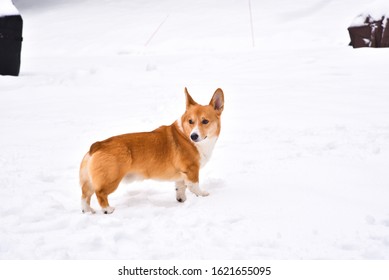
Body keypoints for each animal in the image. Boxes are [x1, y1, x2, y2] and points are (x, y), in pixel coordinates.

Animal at [79, 87, 224, 214]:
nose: (193, 136)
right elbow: (194, 186)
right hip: (112, 179)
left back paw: (88, 211)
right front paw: (203, 194)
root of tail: (98, 145)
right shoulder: (191, 170)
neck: (185, 134)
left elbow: (180, 187)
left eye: (205, 121)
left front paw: (181, 200)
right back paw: (107, 210)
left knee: (85, 195)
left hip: (89, 181)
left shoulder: (181, 174)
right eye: (190, 121)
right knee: (100, 193)